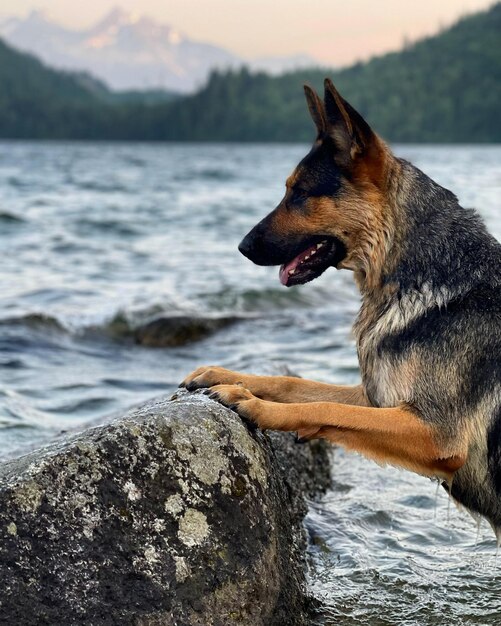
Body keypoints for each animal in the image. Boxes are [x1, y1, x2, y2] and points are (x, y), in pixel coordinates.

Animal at [180, 79, 500, 532]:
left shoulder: (435, 434)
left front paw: (254, 405)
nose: (242, 247)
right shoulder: (378, 400)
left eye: (299, 193)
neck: (418, 273)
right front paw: (227, 376)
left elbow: (324, 405)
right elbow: (295, 385)